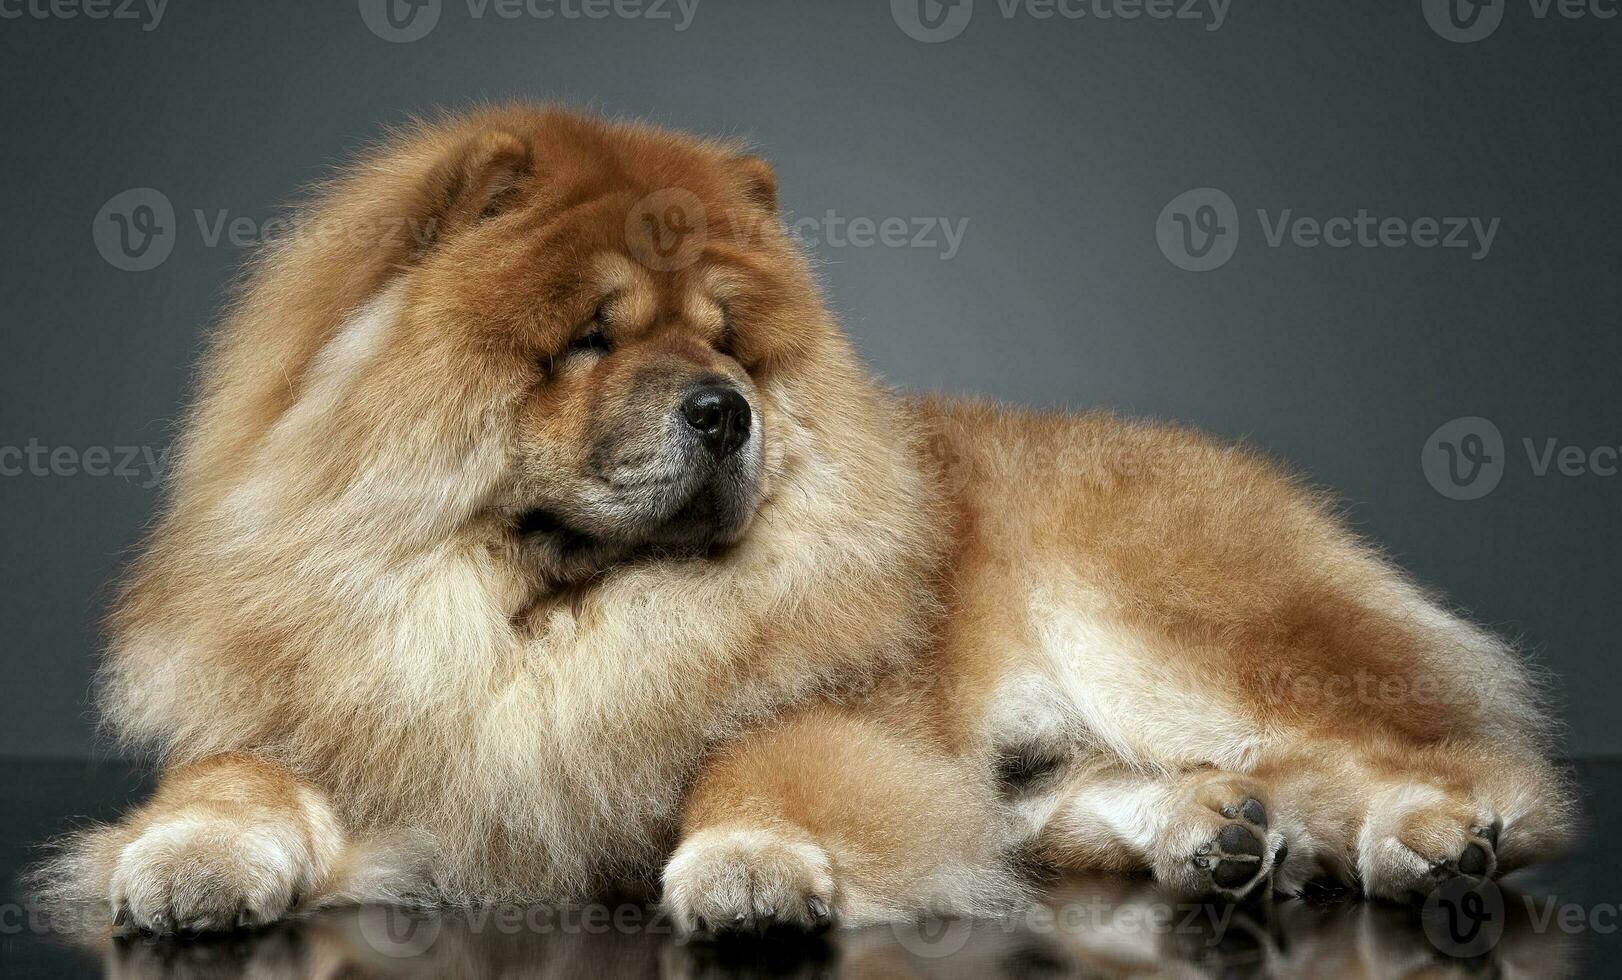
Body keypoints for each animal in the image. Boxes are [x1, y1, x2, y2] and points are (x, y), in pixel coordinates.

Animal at [34, 105, 1570, 934]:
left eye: (727, 343)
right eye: (590, 340)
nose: (724, 411)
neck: (537, 624)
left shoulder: (836, 719)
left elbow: (754, 764)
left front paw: (753, 866)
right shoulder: (313, 705)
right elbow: (235, 779)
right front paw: (187, 860)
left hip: (1168, 635)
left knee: (1441, 756)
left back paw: (1429, 839)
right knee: (1121, 792)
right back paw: (1226, 839)